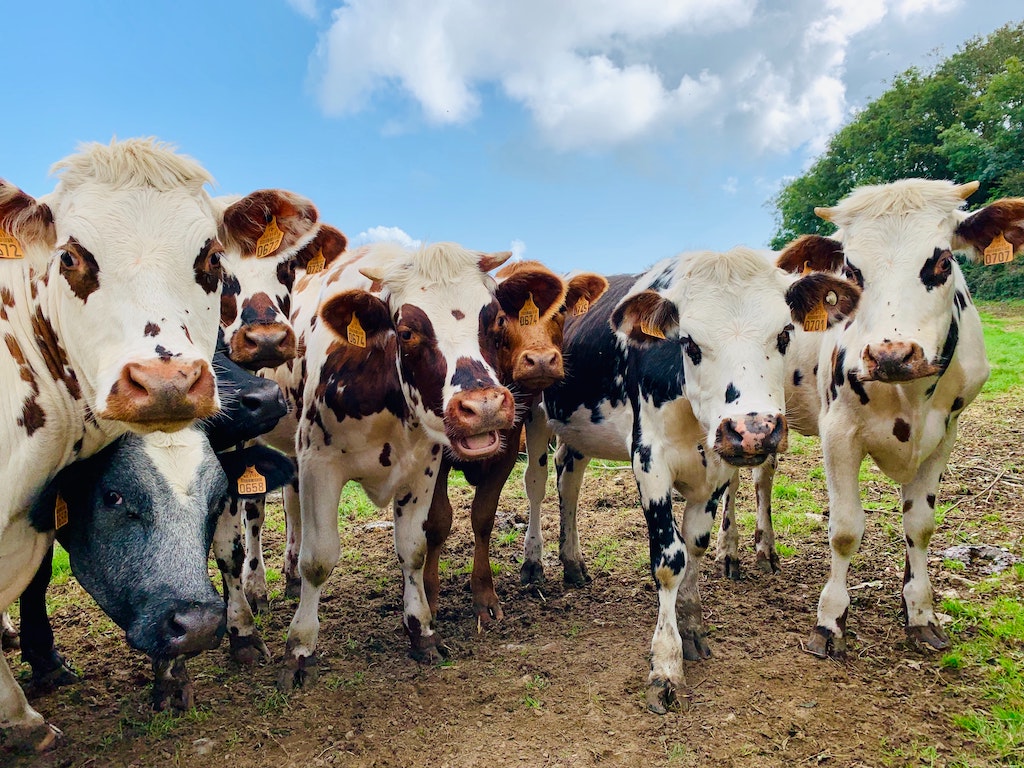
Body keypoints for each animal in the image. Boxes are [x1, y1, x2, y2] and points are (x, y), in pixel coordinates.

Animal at [259, 240, 517, 690]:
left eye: (497, 320)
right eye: (408, 331)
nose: (483, 407)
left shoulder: (424, 467)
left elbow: (413, 549)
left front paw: (422, 632)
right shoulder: (318, 464)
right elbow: (319, 559)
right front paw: (299, 649)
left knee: (291, 508)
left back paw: (288, 576)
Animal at [423, 262, 608, 627]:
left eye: (561, 310)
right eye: (501, 317)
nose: (541, 360)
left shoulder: (511, 444)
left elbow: (485, 516)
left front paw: (485, 595)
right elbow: (438, 520)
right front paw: (429, 599)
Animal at [524, 248, 860, 713]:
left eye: (784, 335)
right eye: (689, 343)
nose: (752, 429)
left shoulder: (717, 471)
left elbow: (695, 547)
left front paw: (691, 628)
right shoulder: (649, 460)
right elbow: (670, 559)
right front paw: (665, 664)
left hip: (577, 432)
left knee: (568, 480)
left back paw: (573, 563)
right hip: (533, 414)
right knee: (536, 482)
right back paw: (533, 563)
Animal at [767, 179, 1017, 660]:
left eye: (943, 261)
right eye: (850, 270)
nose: (891, 355)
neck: (909, 395)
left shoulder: (944, 436)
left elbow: (919, 526)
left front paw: (919, 614)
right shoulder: (838, 433)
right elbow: (845, 529)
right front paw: (830, 621)